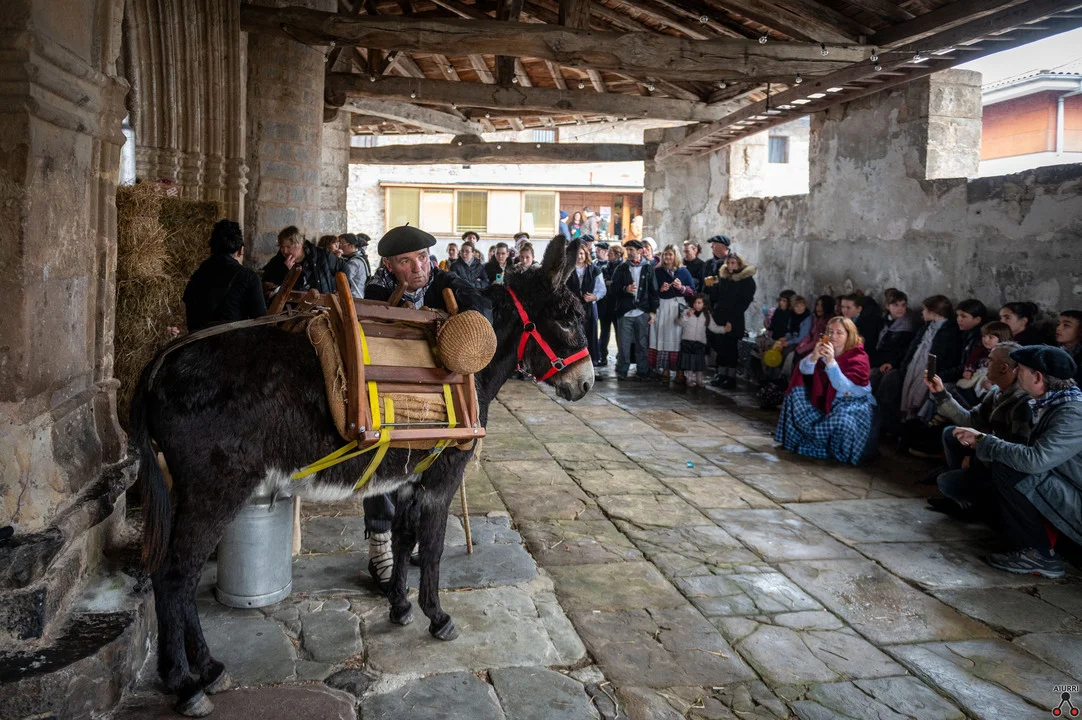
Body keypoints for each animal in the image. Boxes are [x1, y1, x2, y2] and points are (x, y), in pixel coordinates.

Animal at [129, 236, 594, 716]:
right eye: (567, 318)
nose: (586, 384)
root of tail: (161, 363)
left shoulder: (408, 478)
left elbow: (405, 537)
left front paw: (400, 606)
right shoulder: (442, 480)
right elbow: (432, 548)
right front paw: (437, 616)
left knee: (173, 576)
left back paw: (208, 669)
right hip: (215, 489)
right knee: (176, 575)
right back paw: (186, 682)